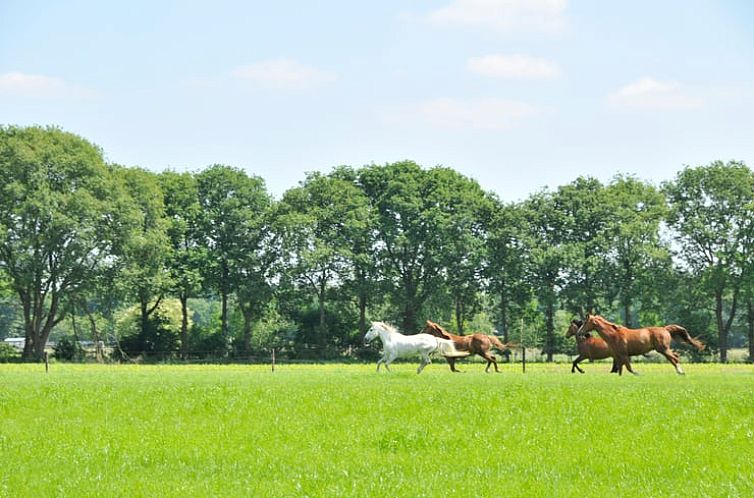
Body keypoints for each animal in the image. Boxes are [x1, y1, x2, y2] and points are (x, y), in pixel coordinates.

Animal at [576, 314, 704, 376]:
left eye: (585, 322)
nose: (579, 333)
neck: (614, 335)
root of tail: (665, 329)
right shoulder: (618, 356)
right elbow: (621, 370)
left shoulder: (624, 355)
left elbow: (628, 368)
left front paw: (638, 374)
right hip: (663, 350)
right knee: (674, 358)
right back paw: (679, 372)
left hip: (663, 349)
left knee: (675, 358)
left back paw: (681, 372)